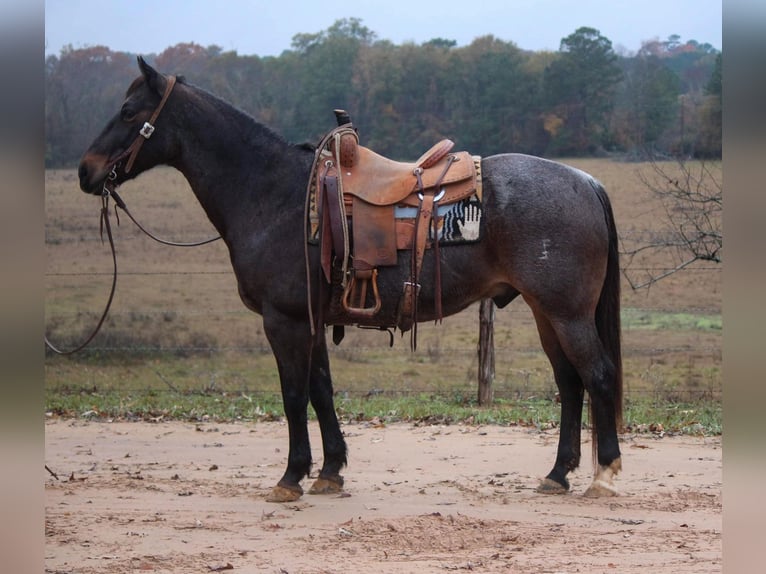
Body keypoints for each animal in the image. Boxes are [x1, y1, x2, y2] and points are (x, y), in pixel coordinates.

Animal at [78, 56, 628, 502]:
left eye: (128, 111)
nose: (86, 171)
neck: (274, 193)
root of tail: (586, 181)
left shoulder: (285, 321)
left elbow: (293, 395)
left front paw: (291, 477)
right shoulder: (313, 320)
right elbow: (321, 390)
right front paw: (330, 471)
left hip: (566, 314)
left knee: (597, 376)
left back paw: (604, 475)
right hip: (545, 313)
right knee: (570, 383)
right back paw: (557, 474)